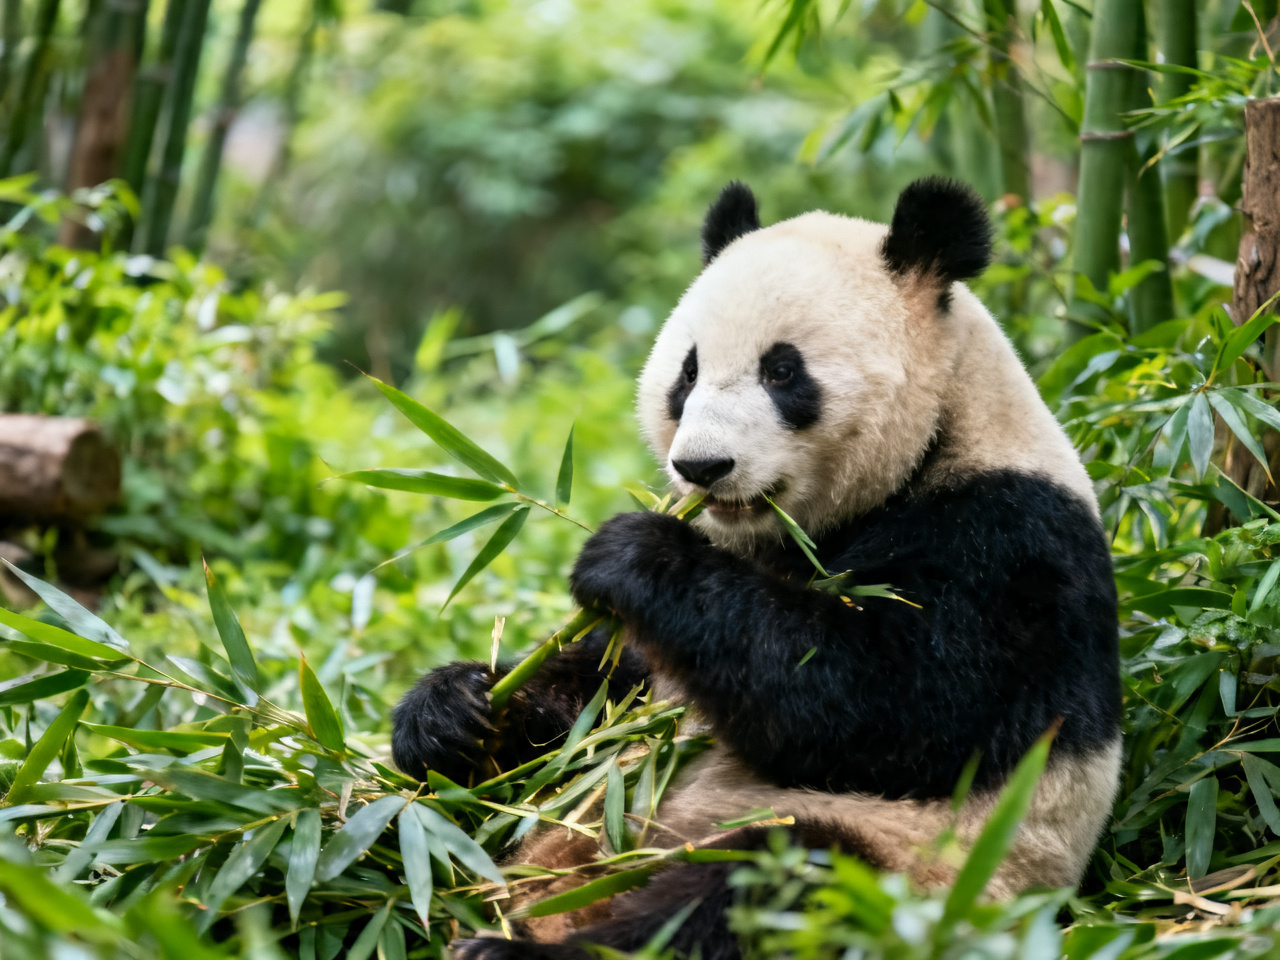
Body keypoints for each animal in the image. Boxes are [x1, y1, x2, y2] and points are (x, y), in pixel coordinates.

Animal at [391, 177, 1122, 959]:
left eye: (782, 371)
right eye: (687, 372)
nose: (701, 467)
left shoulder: (1008, 541)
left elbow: (884, 703)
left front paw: (634, 552)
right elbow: (597, 703)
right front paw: (454, 711)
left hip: (910, 872)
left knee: (766, 884)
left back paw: (520, 947)